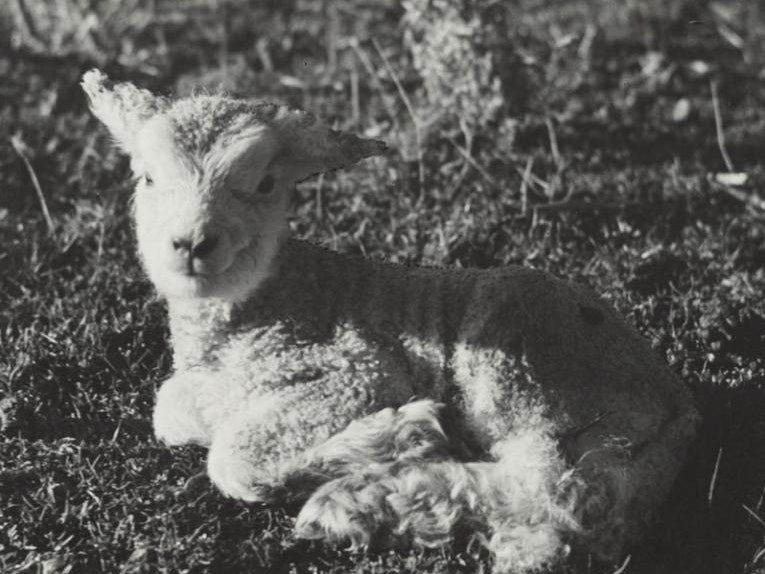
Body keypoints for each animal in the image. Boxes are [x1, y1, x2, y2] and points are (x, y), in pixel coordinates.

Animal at [81, 68, 701, 572]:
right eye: (147, 178)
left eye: (264, 183)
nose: (192, 243)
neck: (260, 312)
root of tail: (674, 396)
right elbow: (170, 413)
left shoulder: (358, 370)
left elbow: (230, 458)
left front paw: (393, 432)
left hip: (519, 367)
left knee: (553, 492)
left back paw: (370, 492)